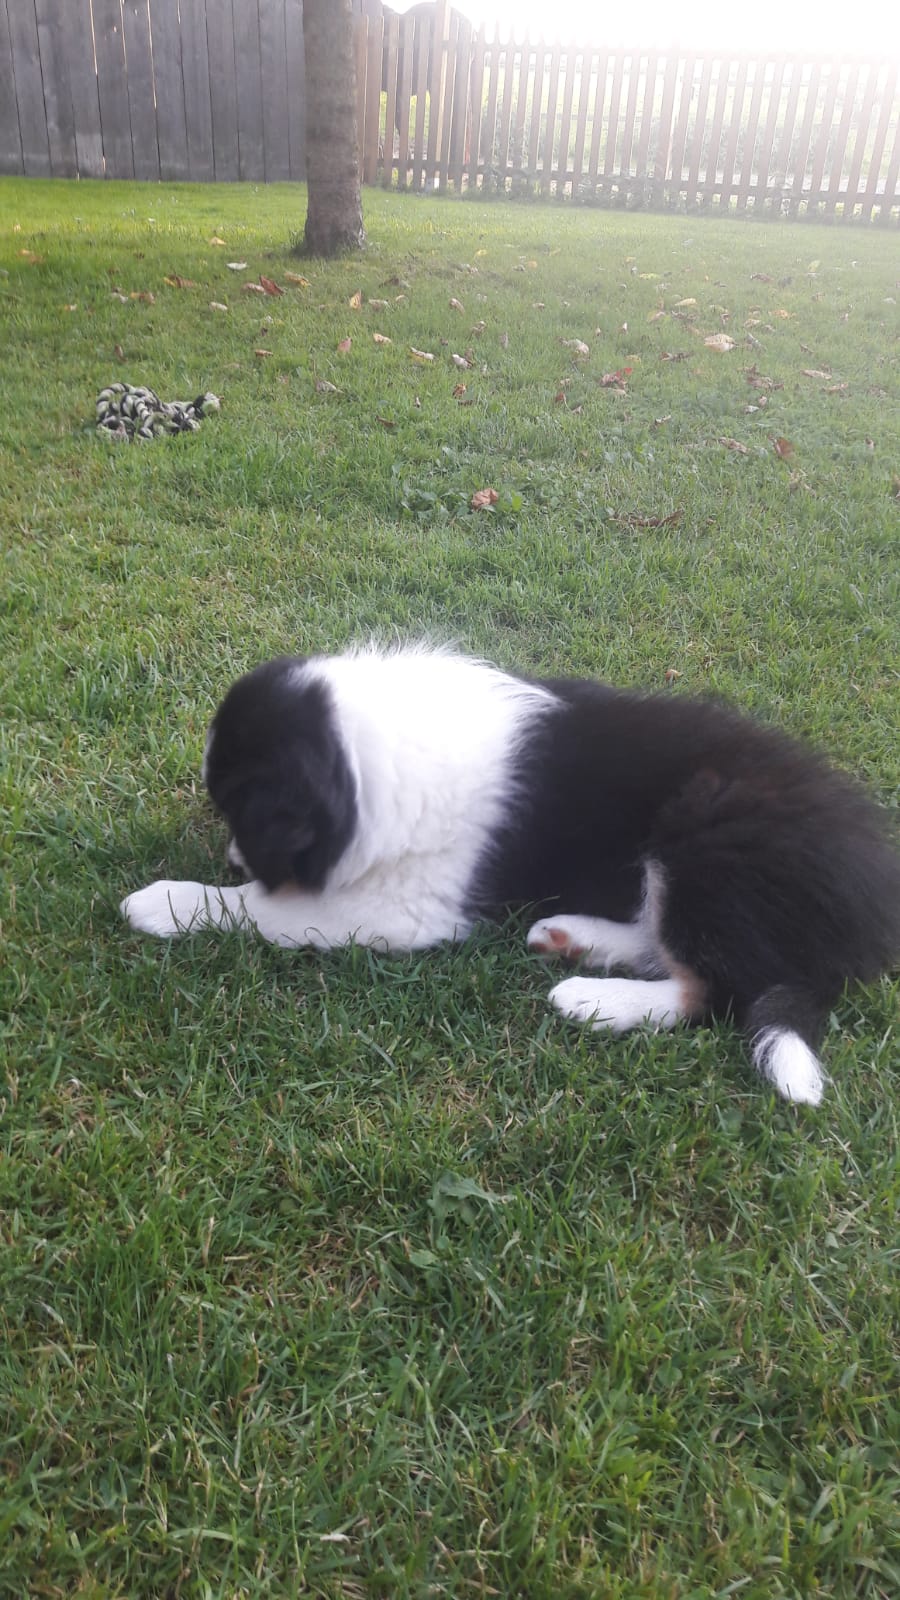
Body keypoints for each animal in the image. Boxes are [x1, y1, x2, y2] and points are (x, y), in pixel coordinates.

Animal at [121, 646, 900, 1106]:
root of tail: (863, 922)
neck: (367, 753)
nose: (232, 857)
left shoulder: (411, 907)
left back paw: (592, 998)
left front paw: (166, 903)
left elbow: (262, 909)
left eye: (237, 812)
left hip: (708, 834)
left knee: (710, 991)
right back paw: (572, 937)